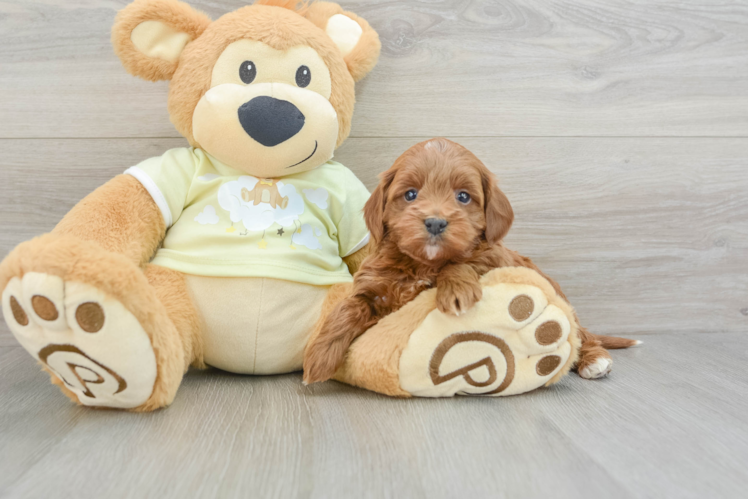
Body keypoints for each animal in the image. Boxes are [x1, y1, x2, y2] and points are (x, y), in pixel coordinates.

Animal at [304, 139, 636, 384]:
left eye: (463, 197)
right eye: (410, 194)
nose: (435, 222)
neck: (423, 264)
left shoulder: (493, 258)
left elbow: (461, 262)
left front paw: (456, 291)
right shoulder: (375, 287)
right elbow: (348, 308)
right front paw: (318, 357)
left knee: (579, 333)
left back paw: (595, 359)